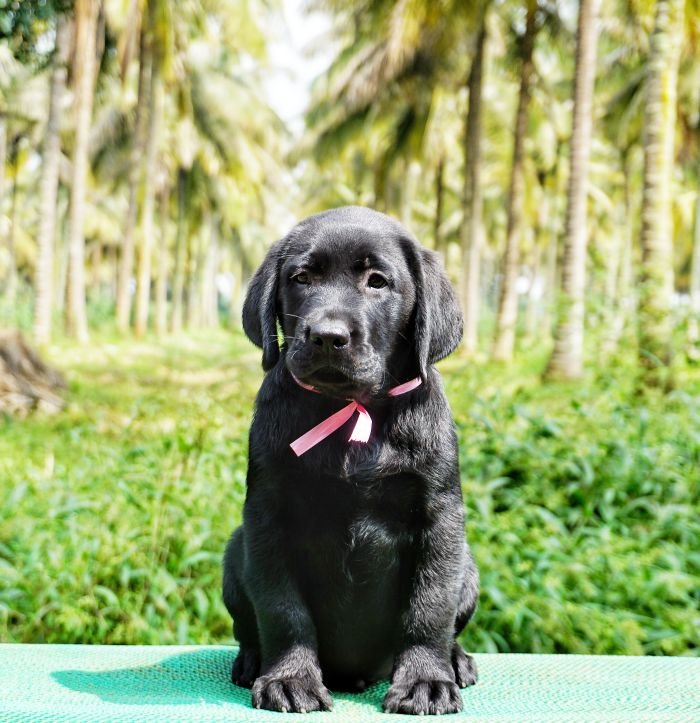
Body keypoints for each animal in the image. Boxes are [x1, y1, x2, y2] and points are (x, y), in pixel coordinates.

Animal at [224, 206, 482, 716]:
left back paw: (456, 661)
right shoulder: (267, 518)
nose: (327, 336)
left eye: (377, 281)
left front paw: (425, 681)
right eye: (301, 277)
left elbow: (429, 607)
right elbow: (283, 609)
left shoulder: (439, 519)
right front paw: (290, 678)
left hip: (469, 567)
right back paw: (251, 662)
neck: (350, 409)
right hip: (233, 551)